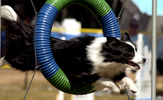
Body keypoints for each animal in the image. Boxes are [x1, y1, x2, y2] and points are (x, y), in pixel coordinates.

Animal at [0, 5, 146, 94]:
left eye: (136, 49)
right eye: (129, 53)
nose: (144, 59)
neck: (107, 57)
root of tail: (32, 35)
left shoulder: (113, 71)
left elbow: (125, 78)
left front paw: (133, 88)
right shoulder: (87, 74)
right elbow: (105, 79)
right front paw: (116, 89)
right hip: (25, 61)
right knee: (9, 58)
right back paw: (0, 62)